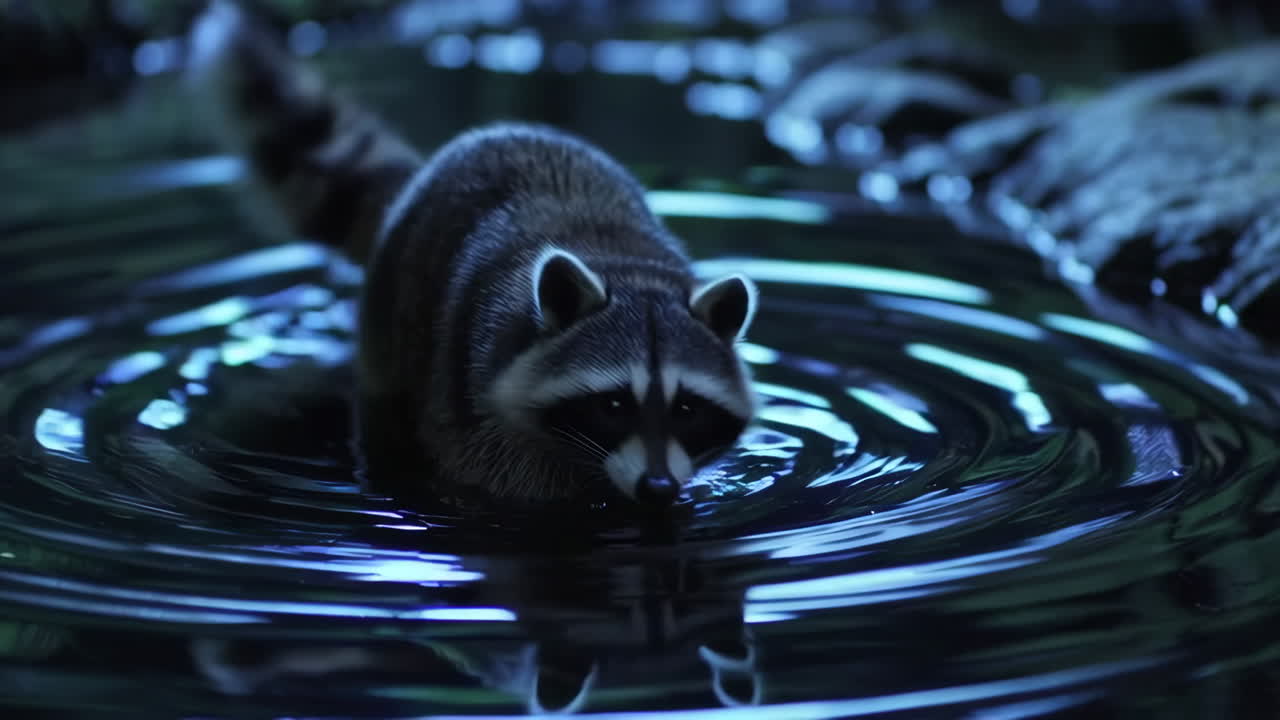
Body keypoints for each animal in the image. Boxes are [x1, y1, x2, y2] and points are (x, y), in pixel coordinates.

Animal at [188, 1, 758, 507]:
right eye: (614, 403)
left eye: (686, 407)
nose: (657, 487)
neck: (632, 274)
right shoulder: (476, 404)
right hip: (389, 332)